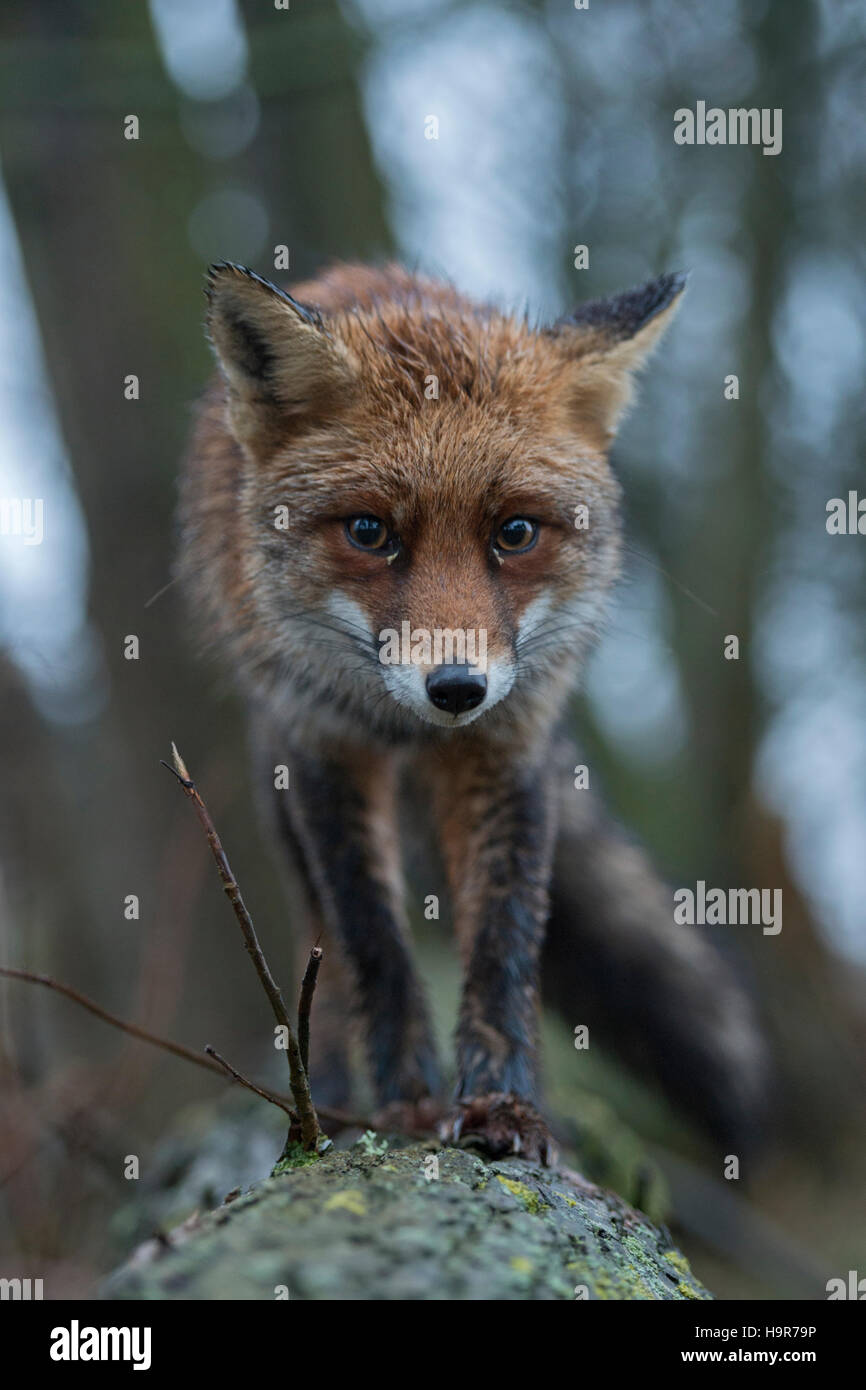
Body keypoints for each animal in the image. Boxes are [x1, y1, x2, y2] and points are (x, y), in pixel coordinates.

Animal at [179, 261, 767, 1162]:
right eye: (369, 531)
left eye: (515, 532)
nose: (456, 688)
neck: (410, 732)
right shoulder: (325, 747)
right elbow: (372, 945)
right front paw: (410, 1104)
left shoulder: (507, 748)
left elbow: (503, 944)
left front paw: (504, 1103)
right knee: (321, 940)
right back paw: (330, 1093)